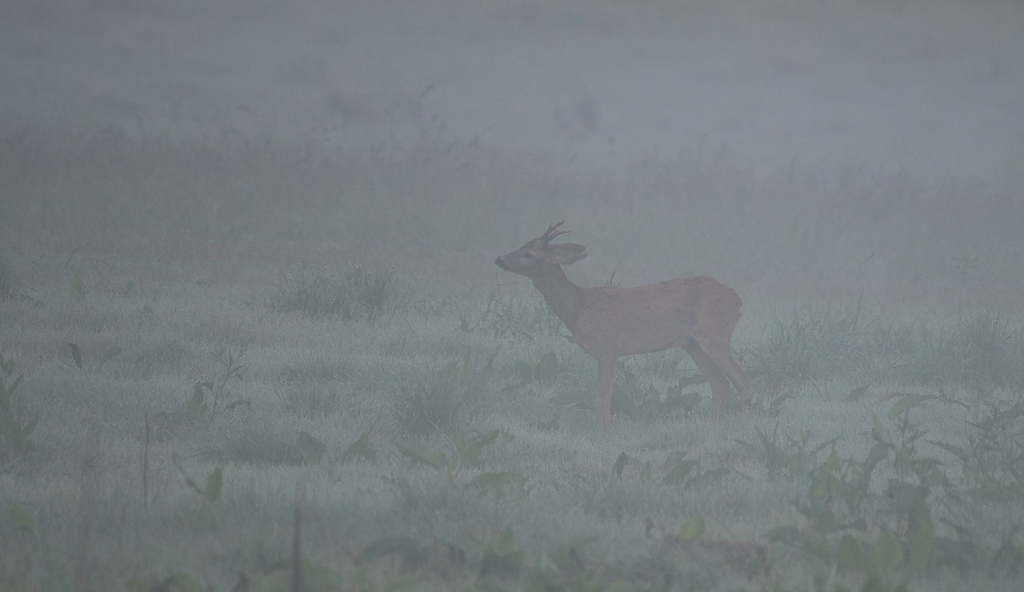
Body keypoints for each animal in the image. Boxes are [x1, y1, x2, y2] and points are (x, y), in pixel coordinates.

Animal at [495, 219, 753, 426]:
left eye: (529, 254)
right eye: (522, 246)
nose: (499, 258)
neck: (579, 308)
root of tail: (737, 300)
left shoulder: (607, 347)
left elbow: (601, 396)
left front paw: (602, 430)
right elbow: (605, 396)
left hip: (714, 334)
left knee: (742, 379)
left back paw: (743, 422)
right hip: (692, 344)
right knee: (720, 383)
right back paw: (708, 423)